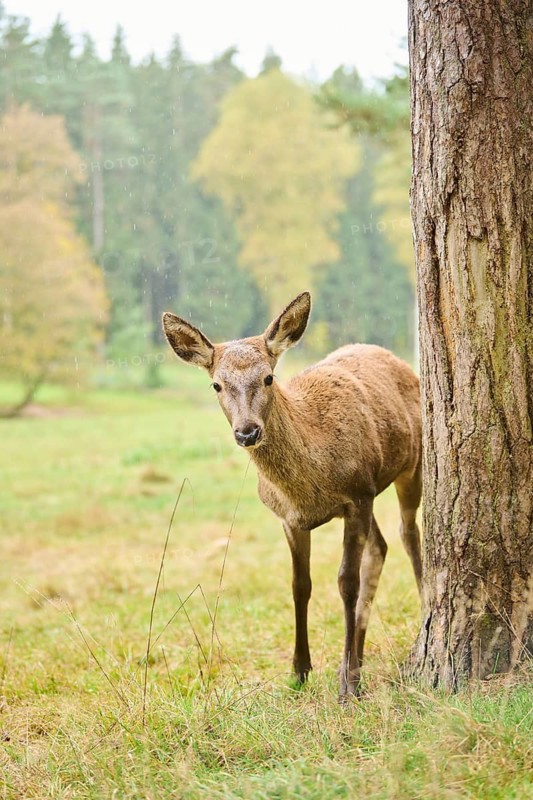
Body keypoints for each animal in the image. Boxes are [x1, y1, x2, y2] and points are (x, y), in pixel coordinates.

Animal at [162, 291, 422, 700]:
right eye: (216, 385)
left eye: (269, 377)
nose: (247, 431)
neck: (306, 488)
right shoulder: (290, 518)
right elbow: (301, 585)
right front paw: (300, 670)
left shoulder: (357, 496)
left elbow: (346, 582)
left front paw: (348, 686)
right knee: (380, 547)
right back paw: (358, 656)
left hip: (412, 465)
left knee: (409, 537)